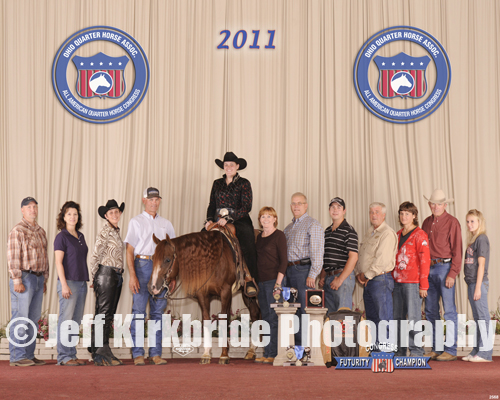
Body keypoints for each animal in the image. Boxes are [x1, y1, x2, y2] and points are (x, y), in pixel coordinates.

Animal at [148, 229, 261, 364]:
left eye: (168, 260)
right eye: (153, 258)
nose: (153, 287)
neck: (214, 262)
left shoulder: (226, 292)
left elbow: (223, 319)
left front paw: (224, 355)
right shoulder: (203, 295)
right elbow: (207, 321)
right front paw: (206, 355)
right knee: (254, 313)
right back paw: (251, 351)